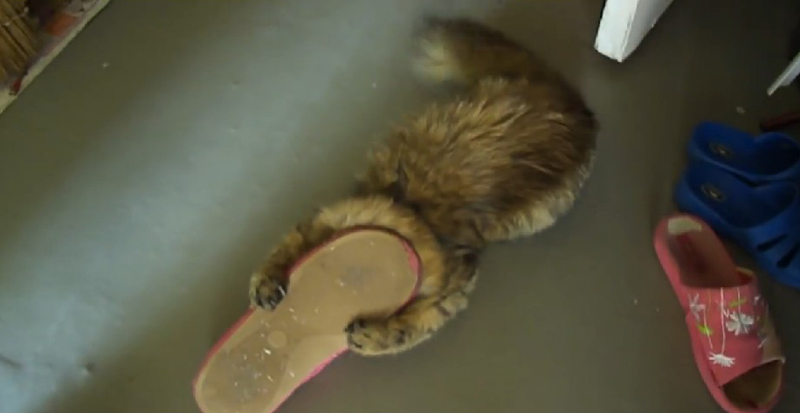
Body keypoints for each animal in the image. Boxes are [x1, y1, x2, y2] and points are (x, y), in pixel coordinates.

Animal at [250, 18, 597, 356]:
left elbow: (411, 325)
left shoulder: (453, 283)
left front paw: (373, 336)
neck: (406, 207)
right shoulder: (330, 215)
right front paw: (266, 282)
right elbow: (289, 243)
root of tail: (570, 99)